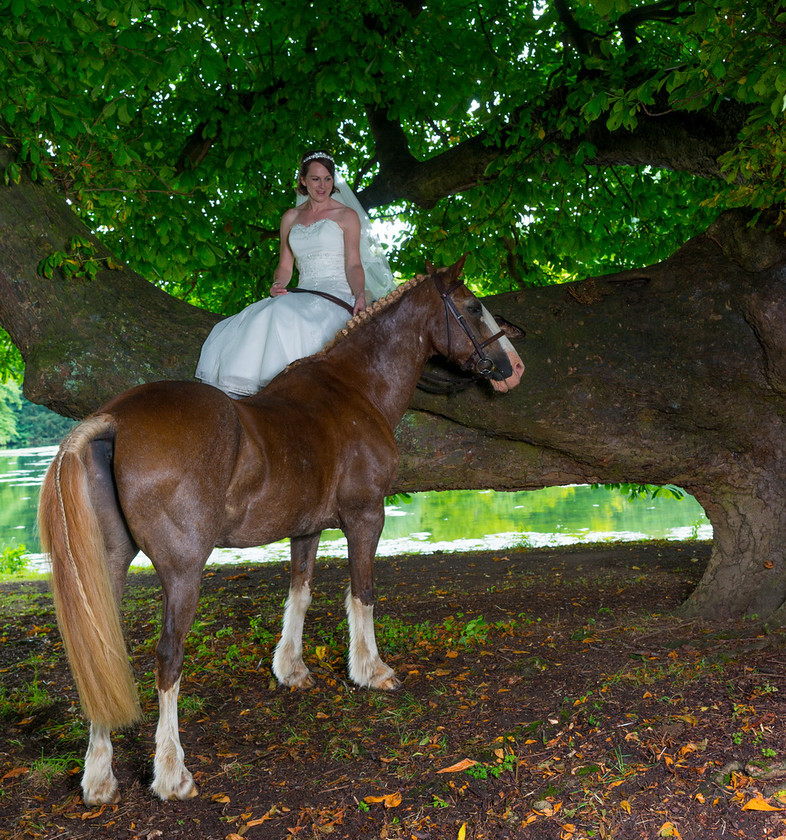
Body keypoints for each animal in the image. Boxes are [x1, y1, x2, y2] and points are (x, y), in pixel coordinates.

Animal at [39, 258, 524, 808]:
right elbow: (362, 592)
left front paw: (290, 669)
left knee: (101, 653)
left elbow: (300, 592)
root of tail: (114, 418)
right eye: (472, 306)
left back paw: (99, 778)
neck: (355, 391)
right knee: (168, 657)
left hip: (106, 569)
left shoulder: (306, 530)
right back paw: (171, 773)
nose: (511, 367)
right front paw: (370, 670)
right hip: (183, 571)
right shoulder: (366, 516)